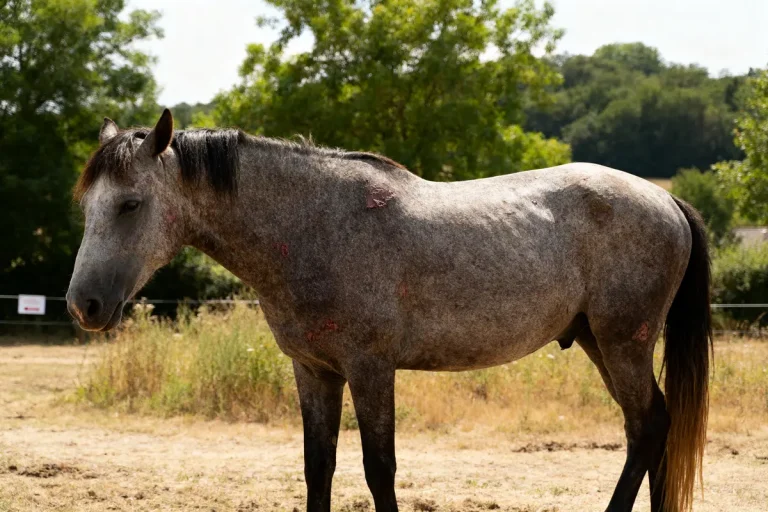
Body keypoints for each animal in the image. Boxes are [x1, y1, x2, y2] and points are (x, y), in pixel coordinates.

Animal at [66, 109, 711, 512]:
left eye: (130, 204)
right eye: (87, 205)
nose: (83, 304)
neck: (313, 227)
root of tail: (665, 199)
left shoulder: (370, 369)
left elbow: (379, 469)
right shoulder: (314, 371)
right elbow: (318, 466)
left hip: (624, 342)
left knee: (648, 426)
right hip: (602, 343)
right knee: (651, 425)